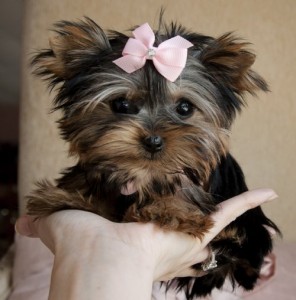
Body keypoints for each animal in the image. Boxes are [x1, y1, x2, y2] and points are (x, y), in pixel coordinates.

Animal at [26, 17, 278, 298]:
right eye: (121, 105)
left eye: (185, 108)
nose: (154, 141)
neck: (145, 173)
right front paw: (65, 196)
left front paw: (171, 209)